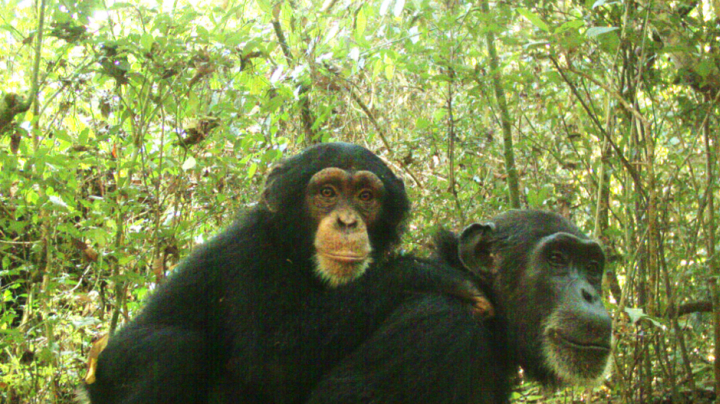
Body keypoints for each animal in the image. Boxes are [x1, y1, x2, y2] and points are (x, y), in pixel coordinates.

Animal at [84, 142, 490, 404]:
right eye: (327, 192)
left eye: (365, 196)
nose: (347, 221)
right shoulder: (248, 255)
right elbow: (268, 361)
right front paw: (426, 273)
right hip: (107, 374)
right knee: (174, 349)